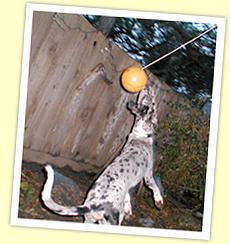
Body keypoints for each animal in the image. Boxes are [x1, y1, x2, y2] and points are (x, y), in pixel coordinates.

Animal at [41, 82, 164, 225]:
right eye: (148, 99)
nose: (148, 84)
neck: (141, 135)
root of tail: (93, 205)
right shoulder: (148, 176)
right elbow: (155, 188)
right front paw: (159, 201)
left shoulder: (129, 187)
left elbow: (128, 197)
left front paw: (129, 209)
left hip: (89, 220)